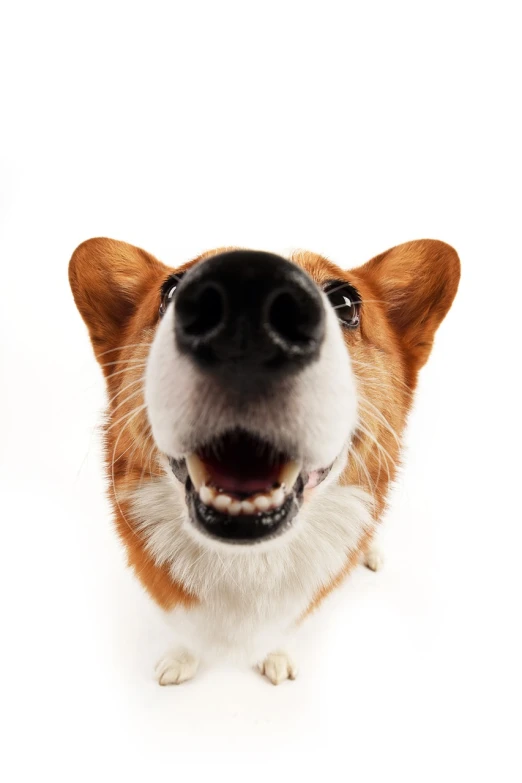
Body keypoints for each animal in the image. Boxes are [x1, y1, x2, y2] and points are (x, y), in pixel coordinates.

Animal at [69, 239, 460, 688]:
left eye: (344, 302)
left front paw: (274, 655)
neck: (244, 559)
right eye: (171, 290)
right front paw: (181, 659)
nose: (247, 305)